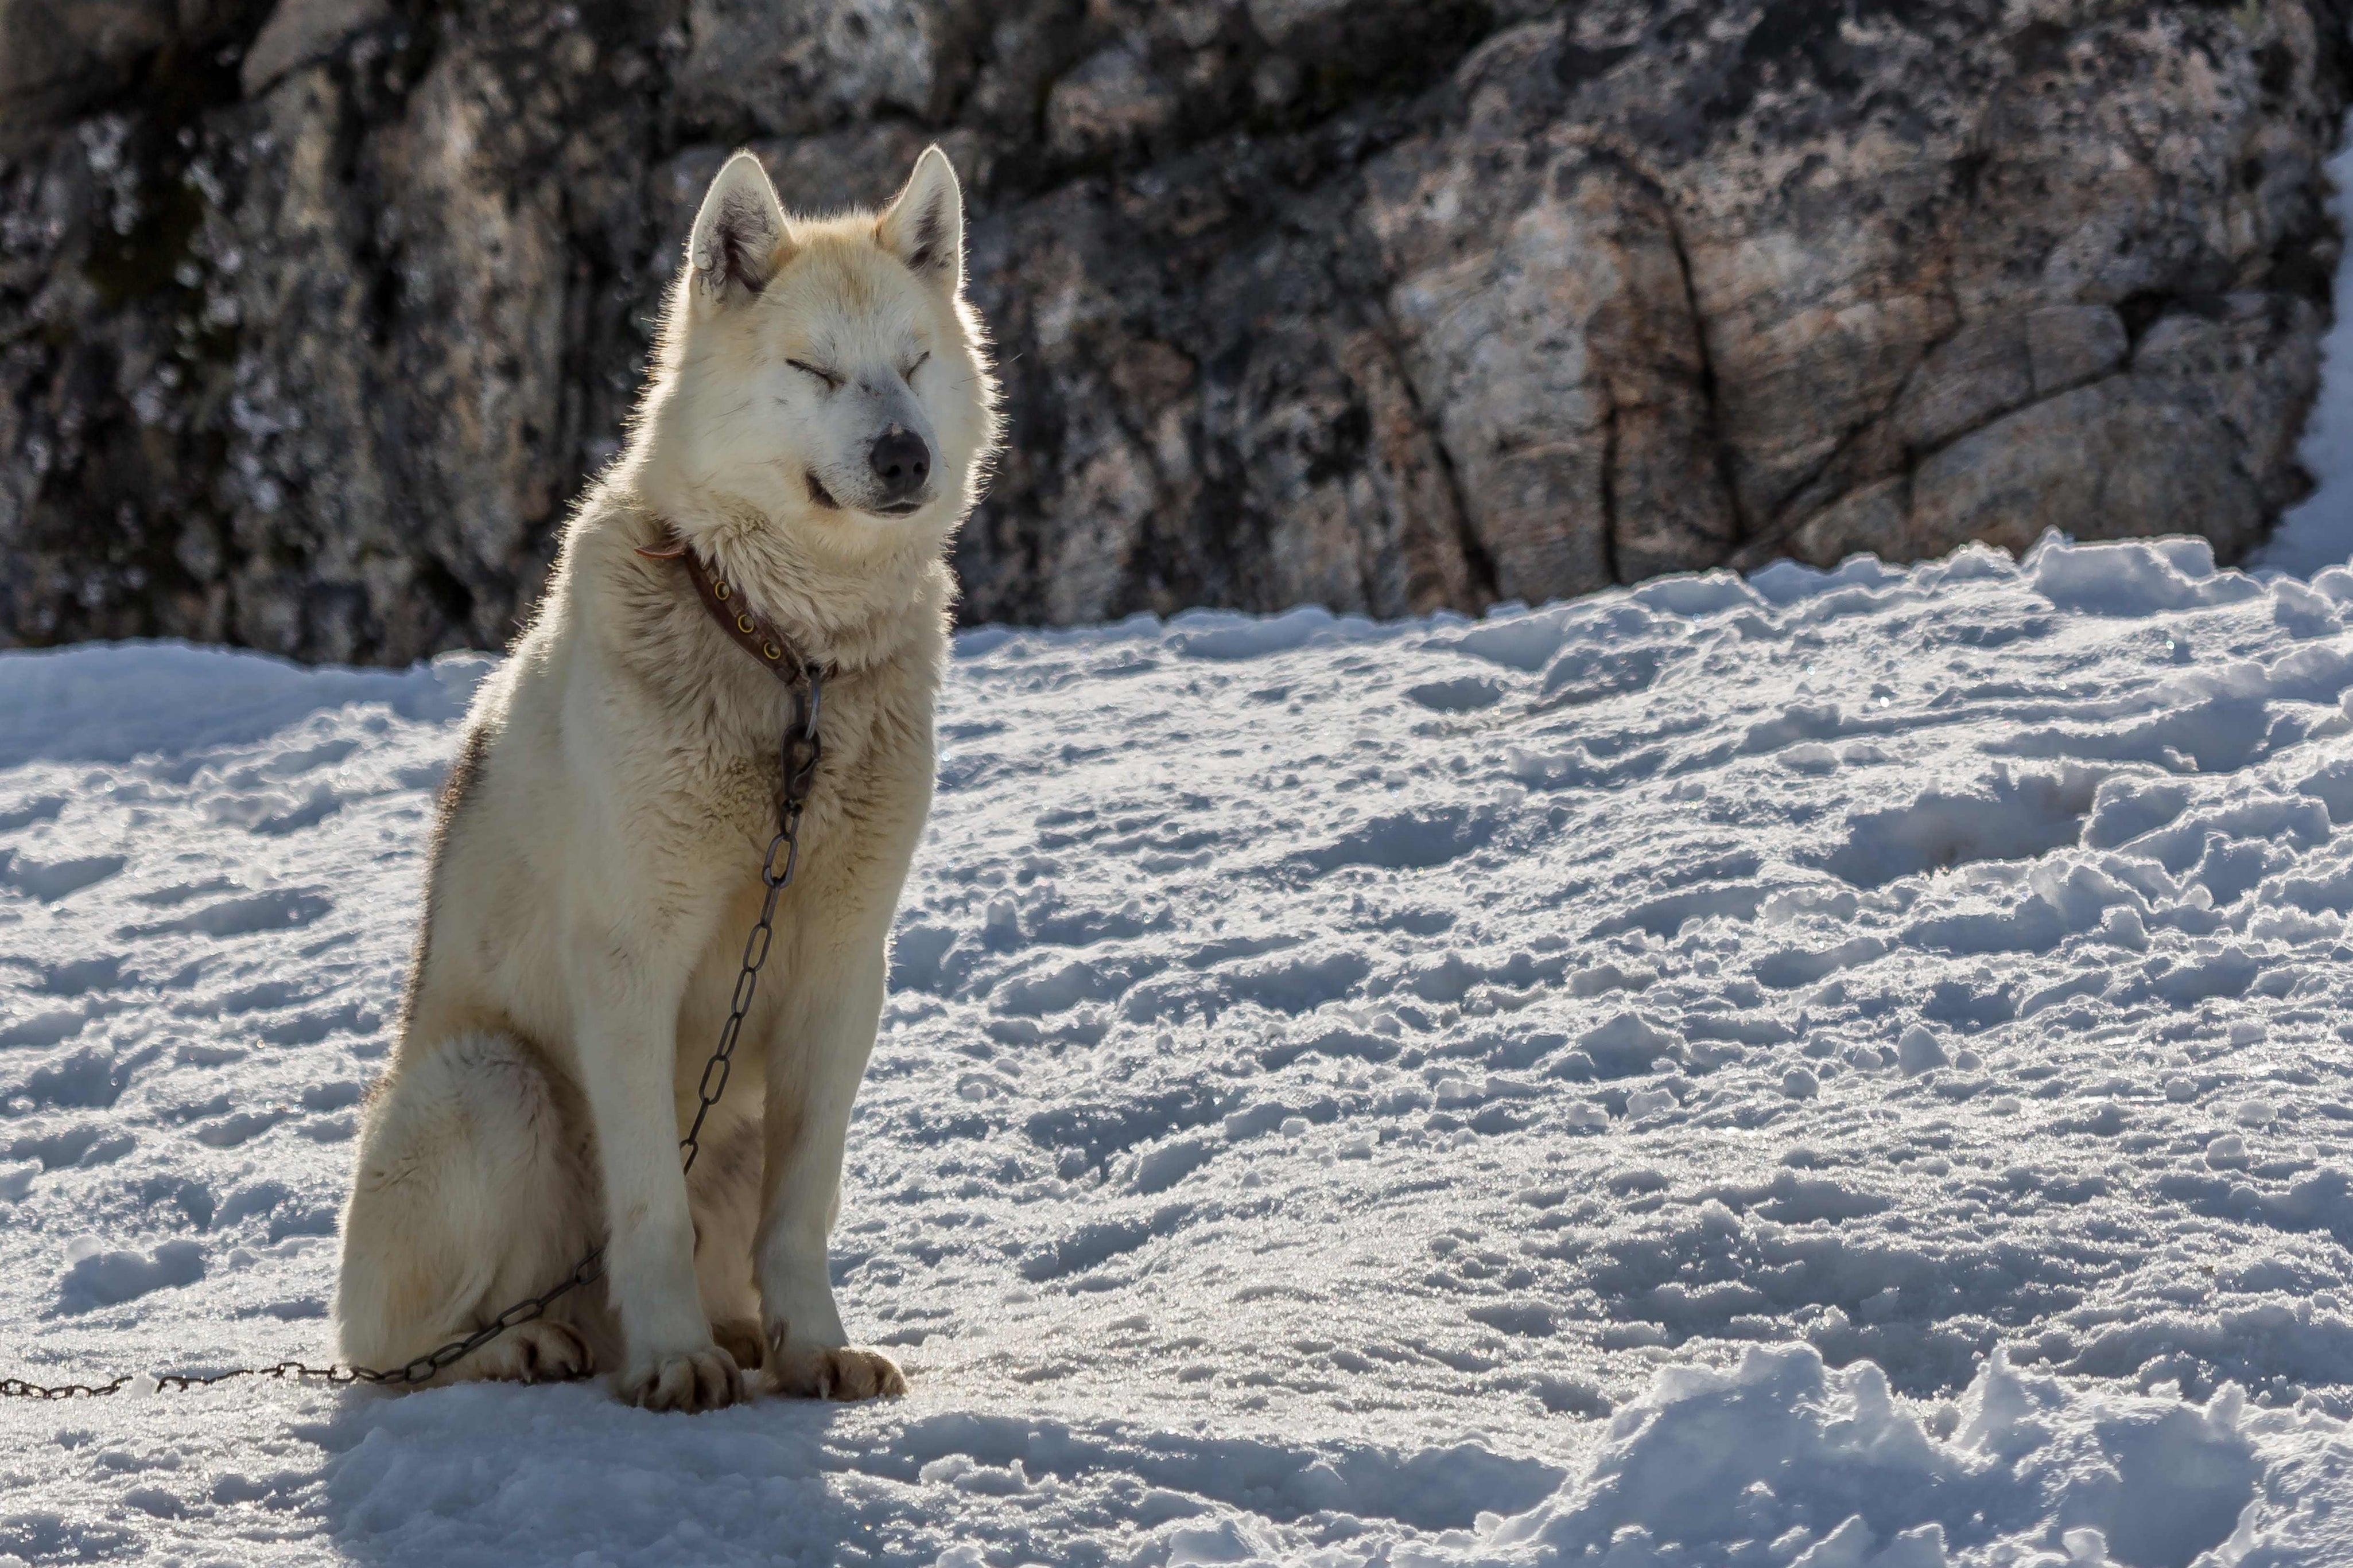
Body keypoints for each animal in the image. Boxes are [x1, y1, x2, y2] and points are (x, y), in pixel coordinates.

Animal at [336, 147, 997, 1419]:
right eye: (813, 368)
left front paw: (815, 1346)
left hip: (721, 1124)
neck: (789, 660)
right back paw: (539, 1348)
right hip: (498, 1084)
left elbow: (805, 1208)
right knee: (400, 1349)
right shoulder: (631, 958)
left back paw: (738, 1335)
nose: (906, 456)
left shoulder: (844, 965)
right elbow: (648, 1204)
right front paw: (674, 1359)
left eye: (911, 363)